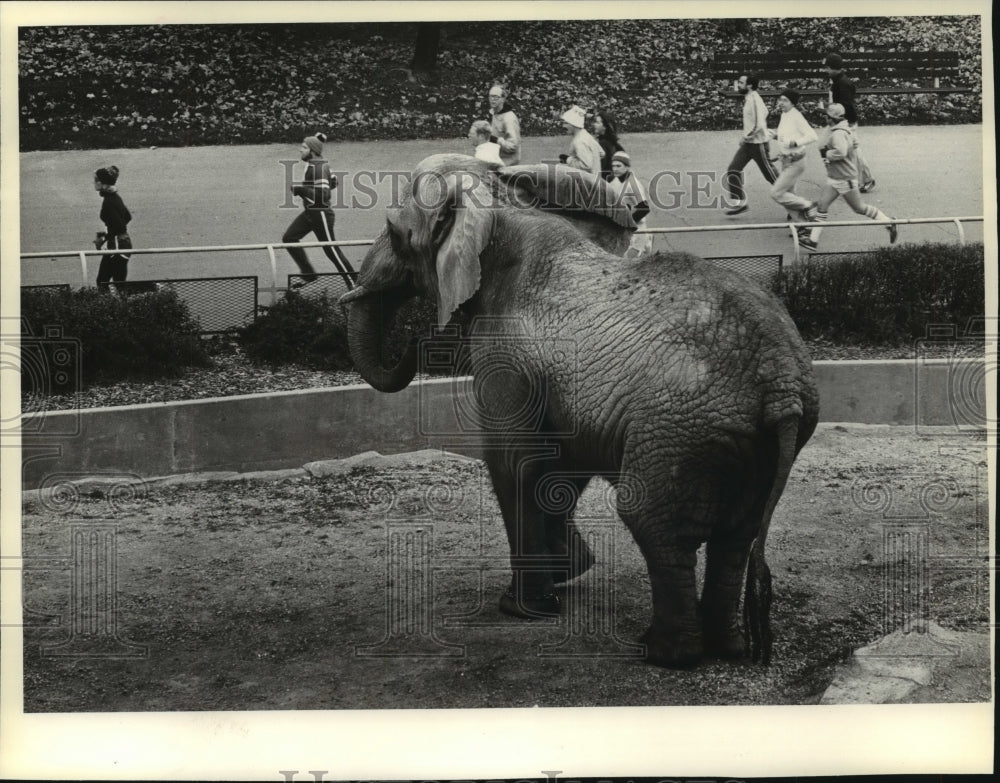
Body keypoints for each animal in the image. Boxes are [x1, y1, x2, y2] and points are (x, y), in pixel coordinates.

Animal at [340, 155, 816, 668]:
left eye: (395, 233)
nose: (414, 340)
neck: (503, 206)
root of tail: (783, 386)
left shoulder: (506, 356)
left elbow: (514, 462)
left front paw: (521, 608)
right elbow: (561, 462)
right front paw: (569, 574)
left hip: (678, 428)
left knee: (655, 524)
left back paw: (662, 653)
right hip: (747, 441)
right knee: (736, 535)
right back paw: (729, 649)